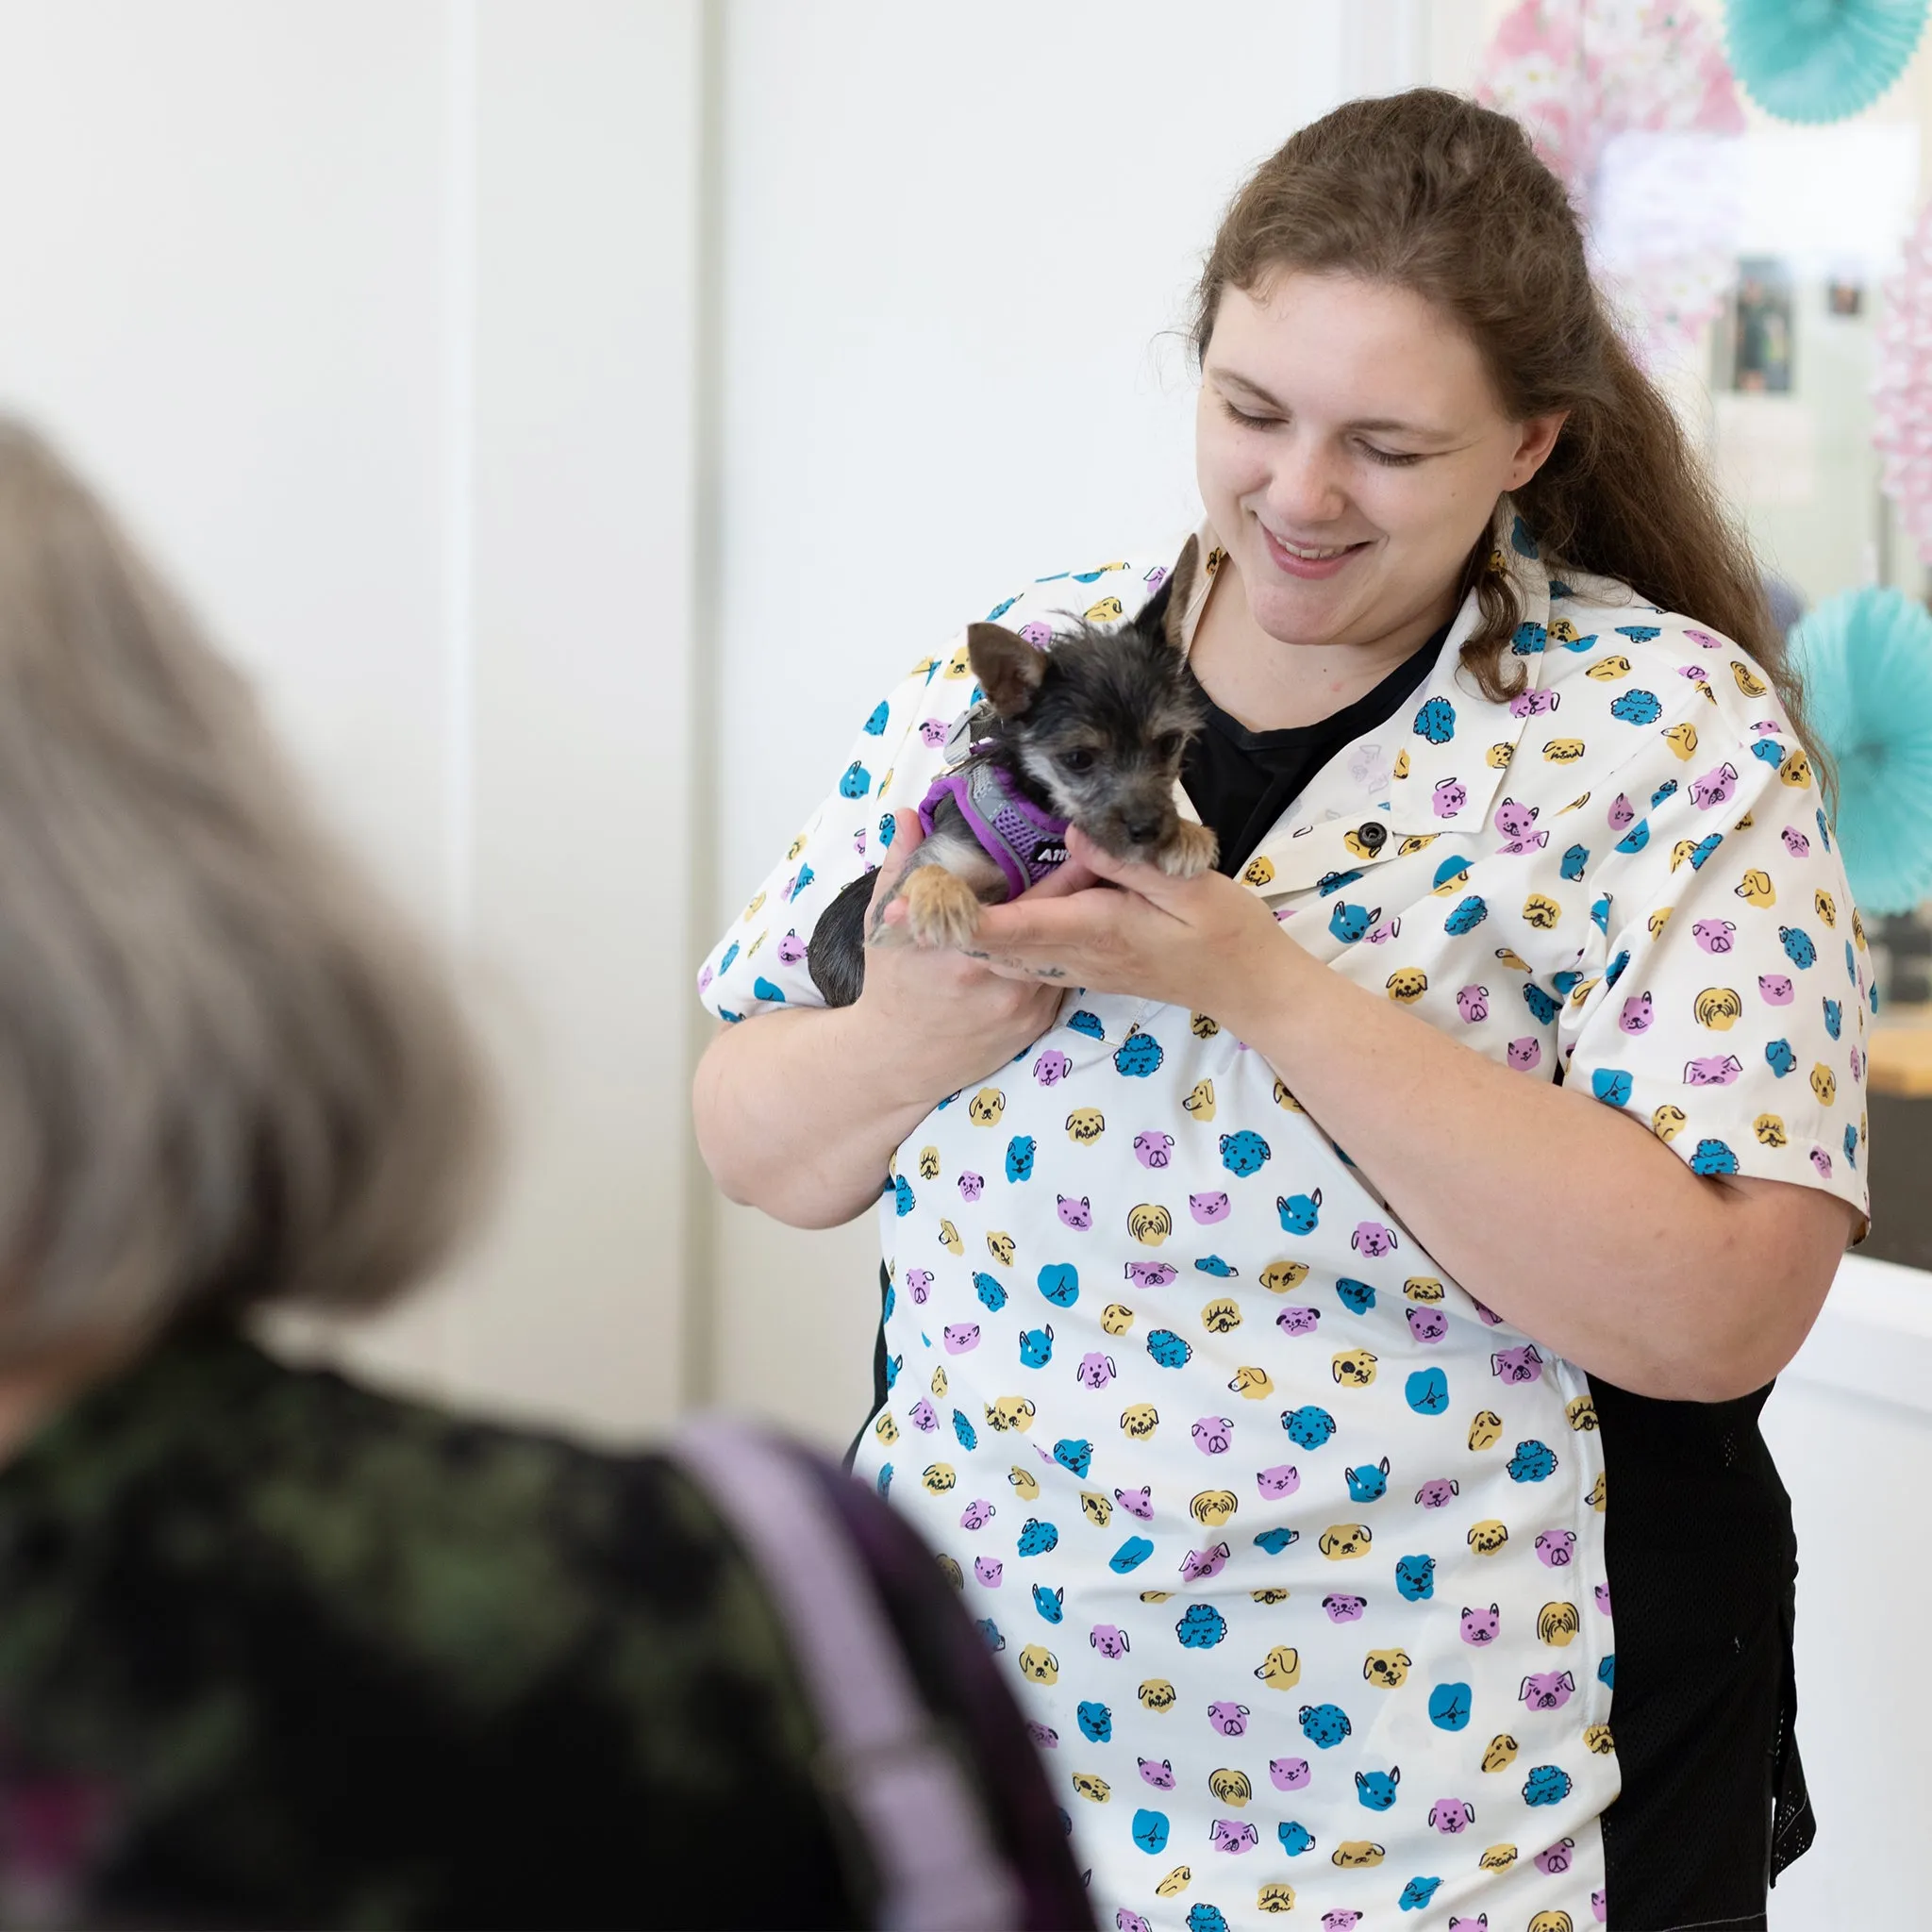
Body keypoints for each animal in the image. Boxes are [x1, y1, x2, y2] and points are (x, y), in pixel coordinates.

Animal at [808, 533, 1213, 1012]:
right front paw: (941, 899)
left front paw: (1187, 834)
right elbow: (924, 872)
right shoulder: (896, 898)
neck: (1041, 813)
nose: (1150, 829)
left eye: (1169, 744)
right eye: (1079, 758)